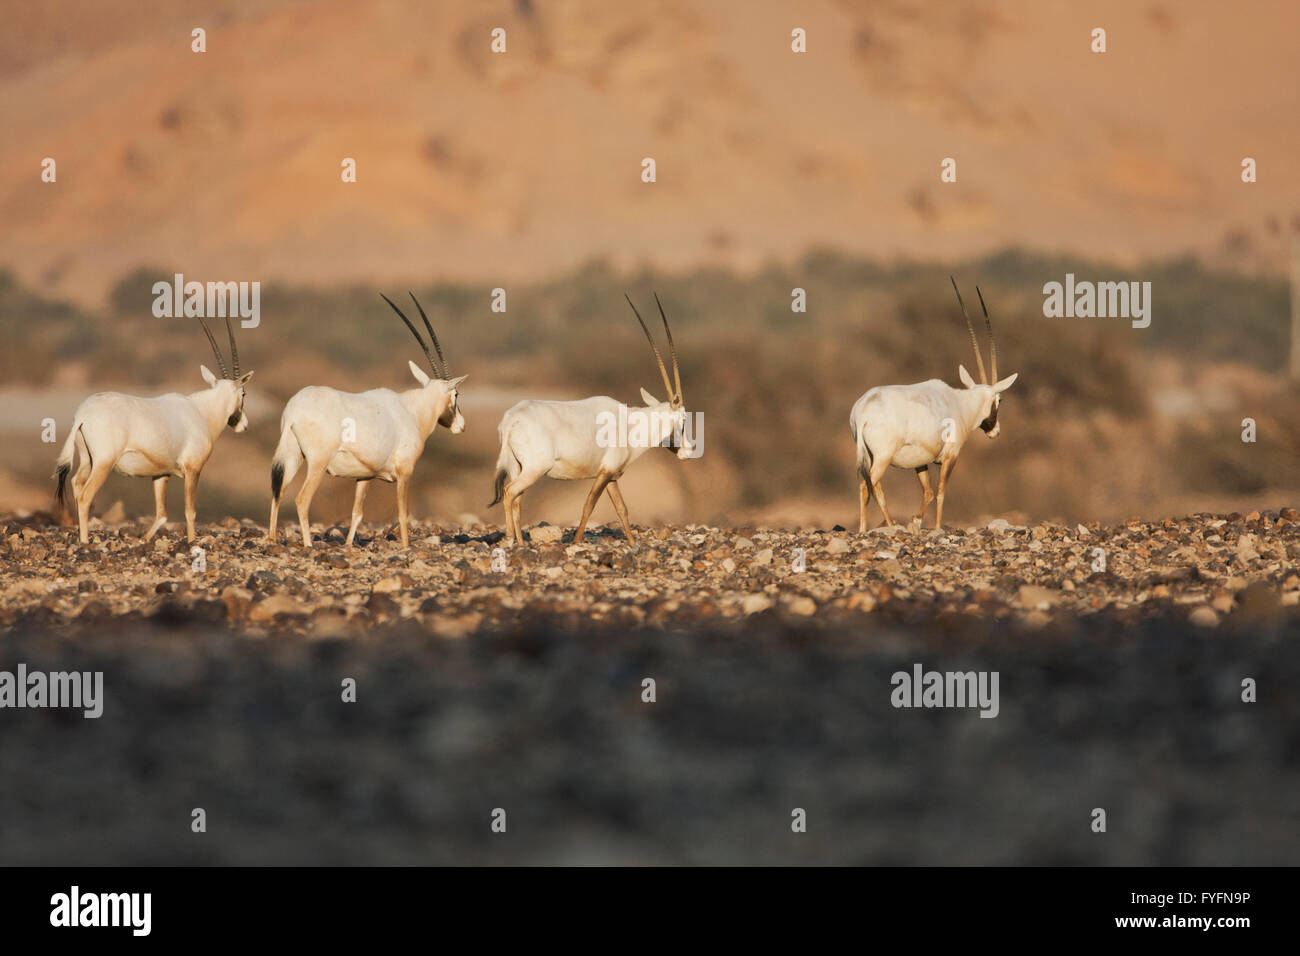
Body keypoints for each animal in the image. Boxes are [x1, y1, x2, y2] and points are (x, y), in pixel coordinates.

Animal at [53, 319, 252, 546]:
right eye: (244, 393)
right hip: (103, 463)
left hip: (88, 460)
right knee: (85, 496)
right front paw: (192, 541)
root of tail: (82, 415)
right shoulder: (193, 470)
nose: (243, 424)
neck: (201, 411)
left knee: (76, 484)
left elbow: (161, 514)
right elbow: (190, 511)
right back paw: (85, 542)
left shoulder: (161, 474)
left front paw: (144, 539)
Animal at [263, 290, 467, 546]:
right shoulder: (405, 472)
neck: (412, 410)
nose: (461, 425)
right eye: (456, 394)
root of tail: (294, 410)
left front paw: (349, 544)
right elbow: (403, 513)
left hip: (292, 456)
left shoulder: (365, 476)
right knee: (301, 499)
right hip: (318, 463)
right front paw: (405, 546)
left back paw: (272, 539)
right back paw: (308, 544)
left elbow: (357, 513)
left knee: (277, 491)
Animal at [488, 291, 696, 546]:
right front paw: (577, 541)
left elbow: (622, 508)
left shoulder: (612, 476)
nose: (688, 451)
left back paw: (520, 542)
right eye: (683, 420)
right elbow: (589, 504)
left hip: (518, 467)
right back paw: (510, 540)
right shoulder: (605, 472)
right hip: (535, 468)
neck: (630, 424)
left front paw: (632, 543)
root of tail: (511, 419)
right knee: (510, 493)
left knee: (517, 498)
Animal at [847, 277, 1019, 535]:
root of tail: (863, 411)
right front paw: (936, 526)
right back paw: (885, 524)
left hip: (868, 454)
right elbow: (940, 492)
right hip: (883, 456)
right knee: (872, 483)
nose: (995, 431)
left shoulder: (921, 462)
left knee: (866, 485)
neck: (961, 403)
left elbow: (927, 492)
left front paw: (916, 520)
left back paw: (868, 526)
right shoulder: (950, 456)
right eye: (999, 400)